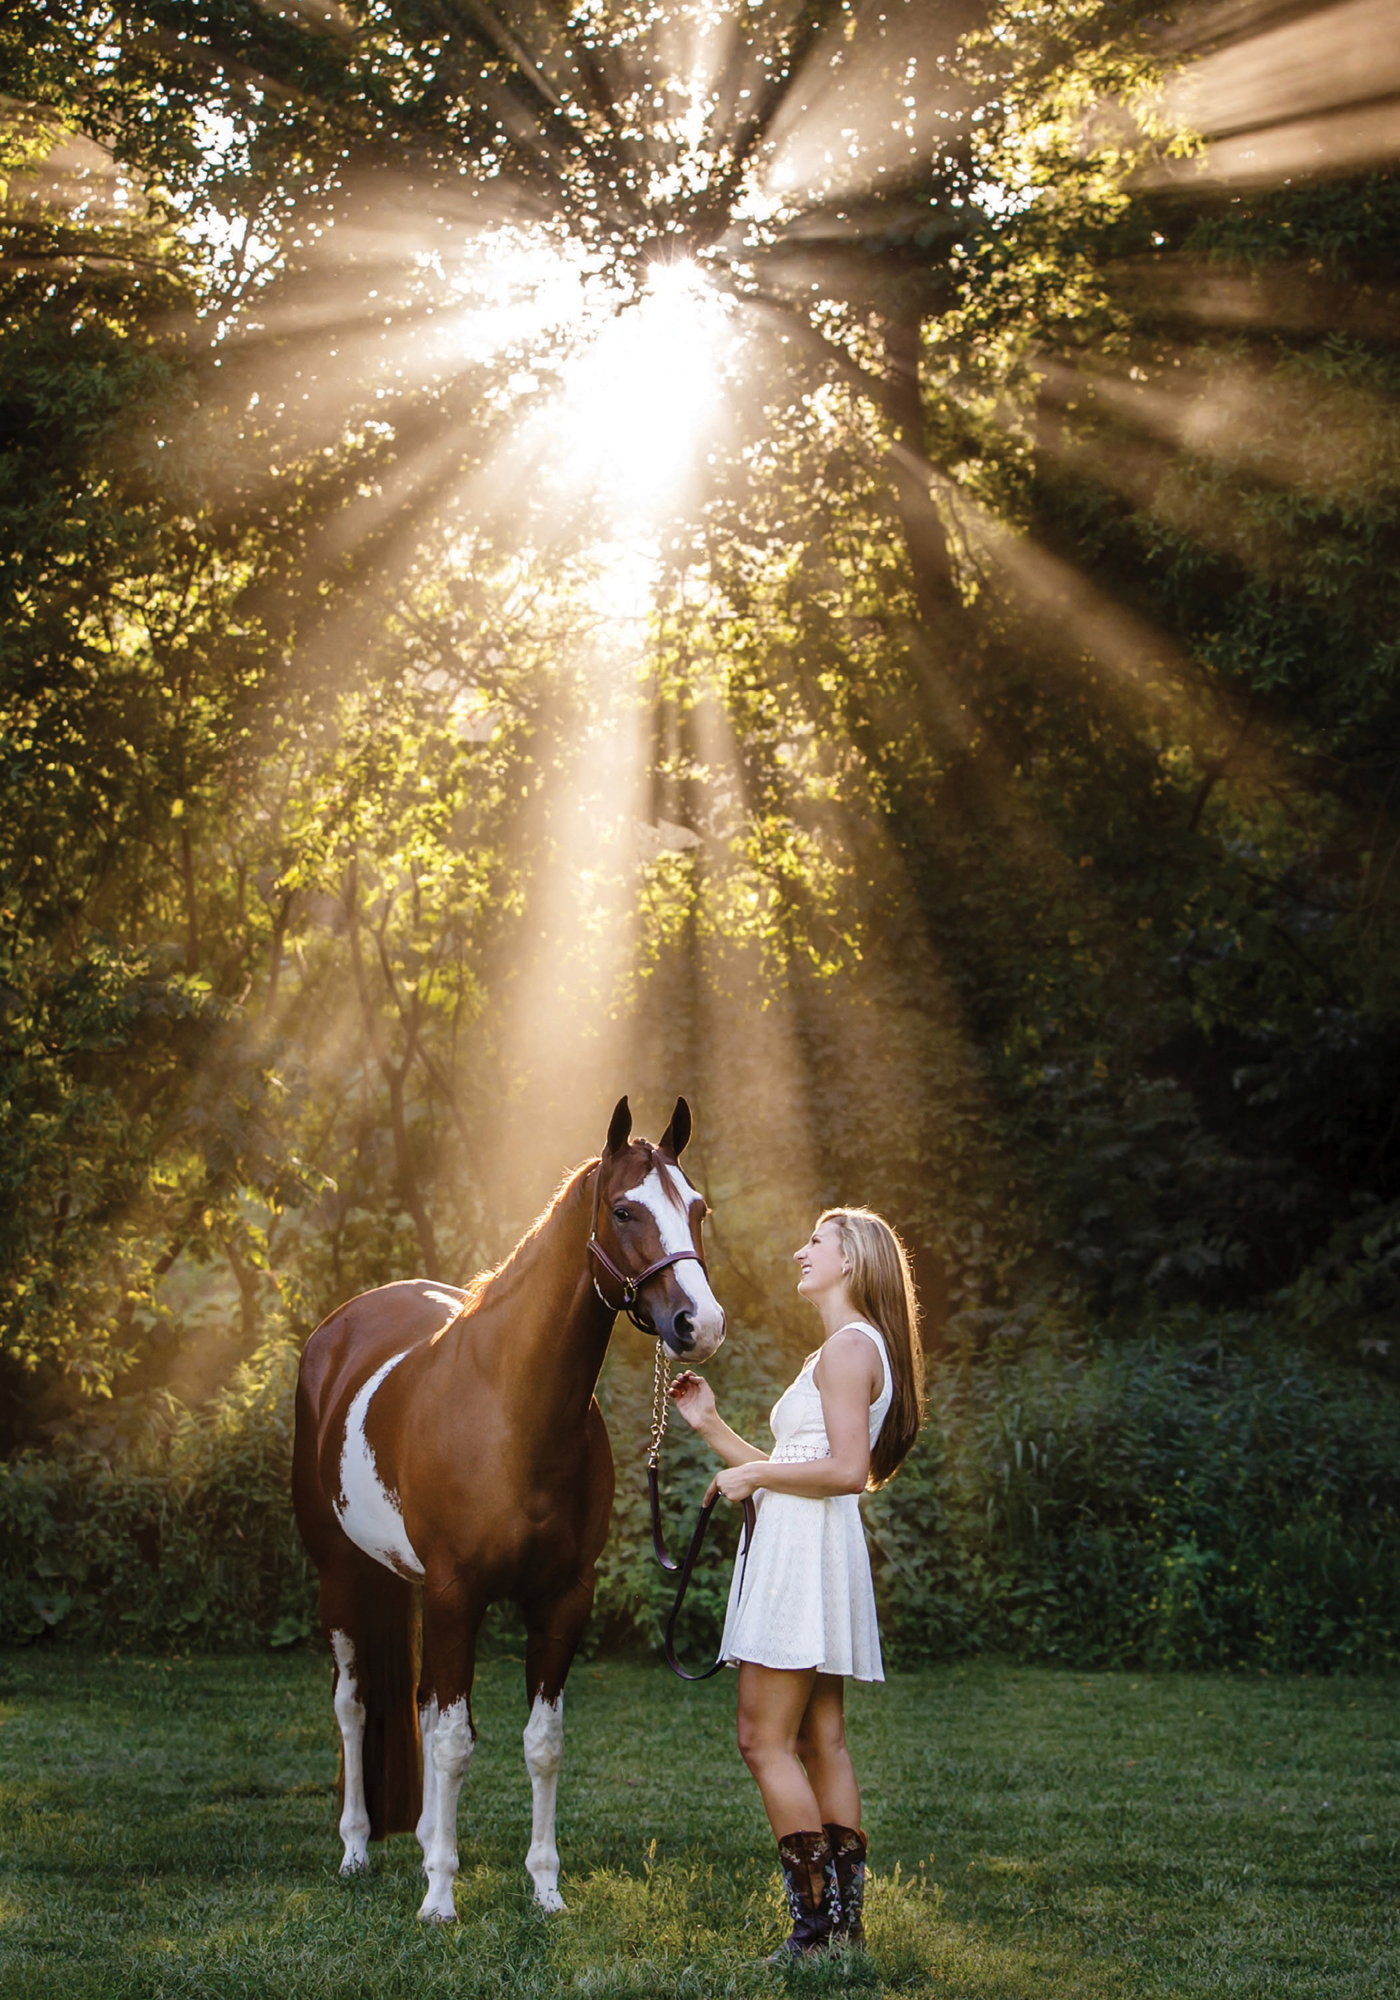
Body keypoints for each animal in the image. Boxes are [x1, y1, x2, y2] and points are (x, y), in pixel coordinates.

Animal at [292, 1096, 732, 1920]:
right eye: (624, 1210)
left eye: (697, 1208)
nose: (701, 1324)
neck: (513, 1413)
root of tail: (338, 1329)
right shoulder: (457, 1592)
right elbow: (453, 1742)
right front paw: (440, 1900)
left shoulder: (560, 1600)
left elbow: (538, 1744)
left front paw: (544, 1887)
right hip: (342, 1577)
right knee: (355, 1706)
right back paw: (357, 1850)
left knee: (420, 1704)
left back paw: (423, 1840)